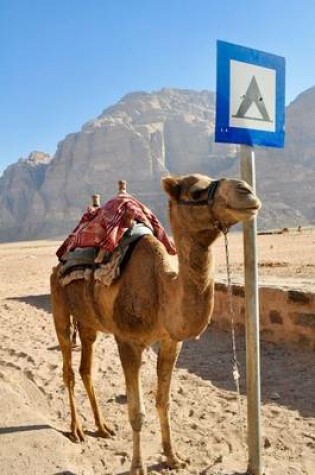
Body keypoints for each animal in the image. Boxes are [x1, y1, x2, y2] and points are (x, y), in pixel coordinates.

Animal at [50, 173, 262, 474]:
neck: (162, 288)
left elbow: (164, 401)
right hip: (59, 305)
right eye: (197, 192)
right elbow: (136, 412)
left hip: (88, 321)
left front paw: (174, 457)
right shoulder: (128, 342)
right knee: (68, 368)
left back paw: (102, 427)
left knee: (85, 368)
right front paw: (137, 466)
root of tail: (61, 260)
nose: (246, 191)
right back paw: (77, 430)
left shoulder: (171, 341)